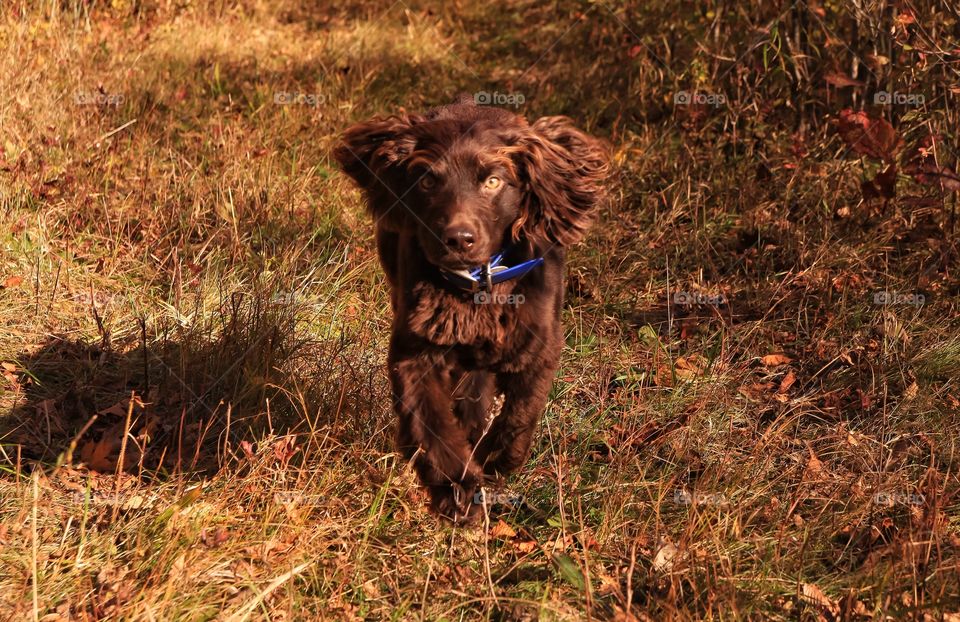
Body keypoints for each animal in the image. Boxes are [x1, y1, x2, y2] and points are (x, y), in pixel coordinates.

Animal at [334, 95, 612, 524]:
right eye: (427, 180)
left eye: (493, 181)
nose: (458, 239)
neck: (479, 284)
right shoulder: (415, 349)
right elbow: (429, 422)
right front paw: (457, 488)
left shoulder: (540, 344)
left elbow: (522, 411)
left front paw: (496, 458)